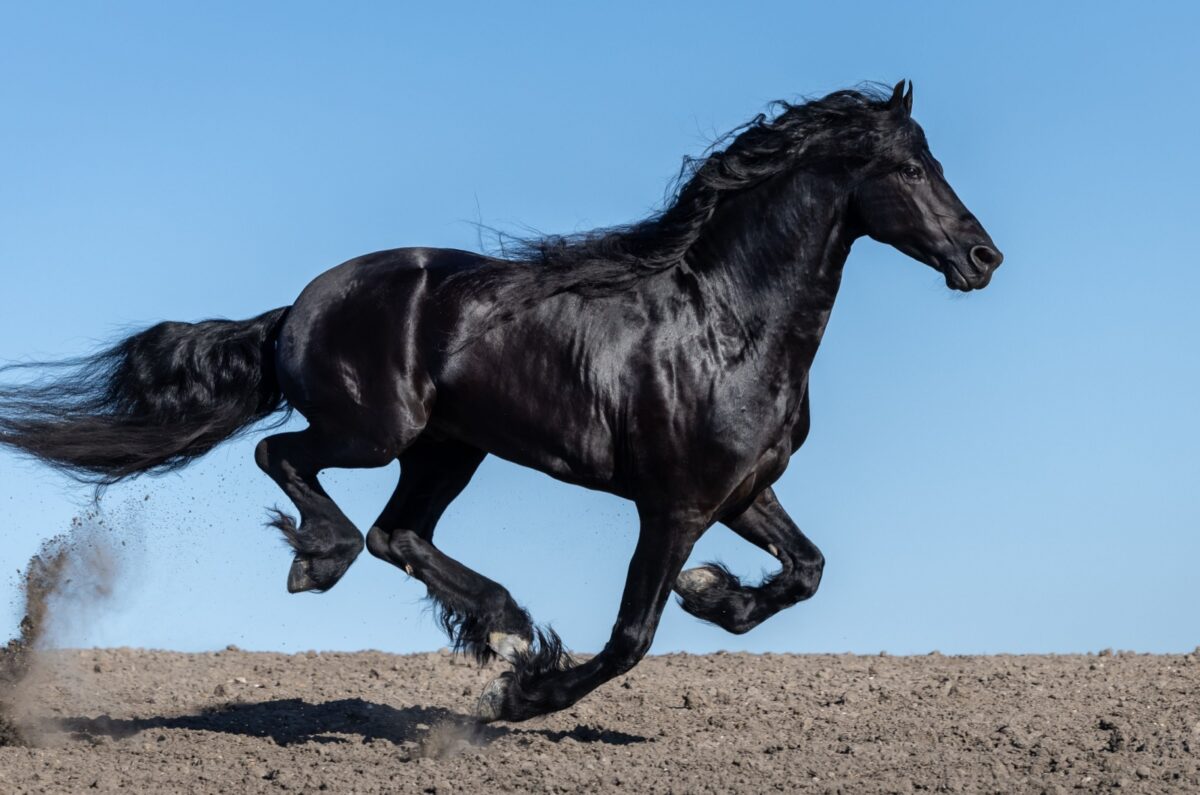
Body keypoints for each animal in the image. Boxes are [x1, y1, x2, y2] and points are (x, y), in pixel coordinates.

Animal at [0, 81, 1002, 722]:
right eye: (913, 169)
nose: (983, 257)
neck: (727, 326)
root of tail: (299, 304)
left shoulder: (742, 490)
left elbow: (806, 570)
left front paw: (714, 594)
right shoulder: (673, 503)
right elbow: (632, 635)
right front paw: (527, 695)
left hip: (448, 447)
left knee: (398, 532)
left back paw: (504, 624)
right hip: (375, 430)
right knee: (287, 461)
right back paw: (333, 565)